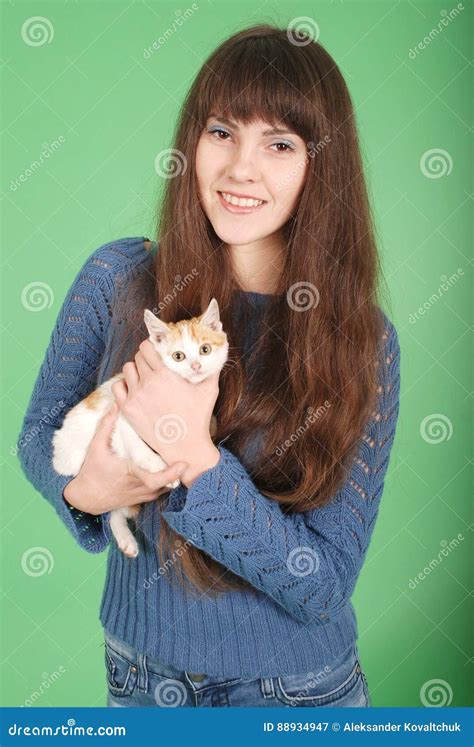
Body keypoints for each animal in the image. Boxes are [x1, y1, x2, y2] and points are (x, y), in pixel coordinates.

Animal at [52, 300, 230, 560]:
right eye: (178, 356)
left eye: (205, 350)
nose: (196, 366)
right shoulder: (124, 415)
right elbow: (135, 443)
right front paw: (159, 467)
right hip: (72, 456)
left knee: (116, 512)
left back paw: (125, 539)